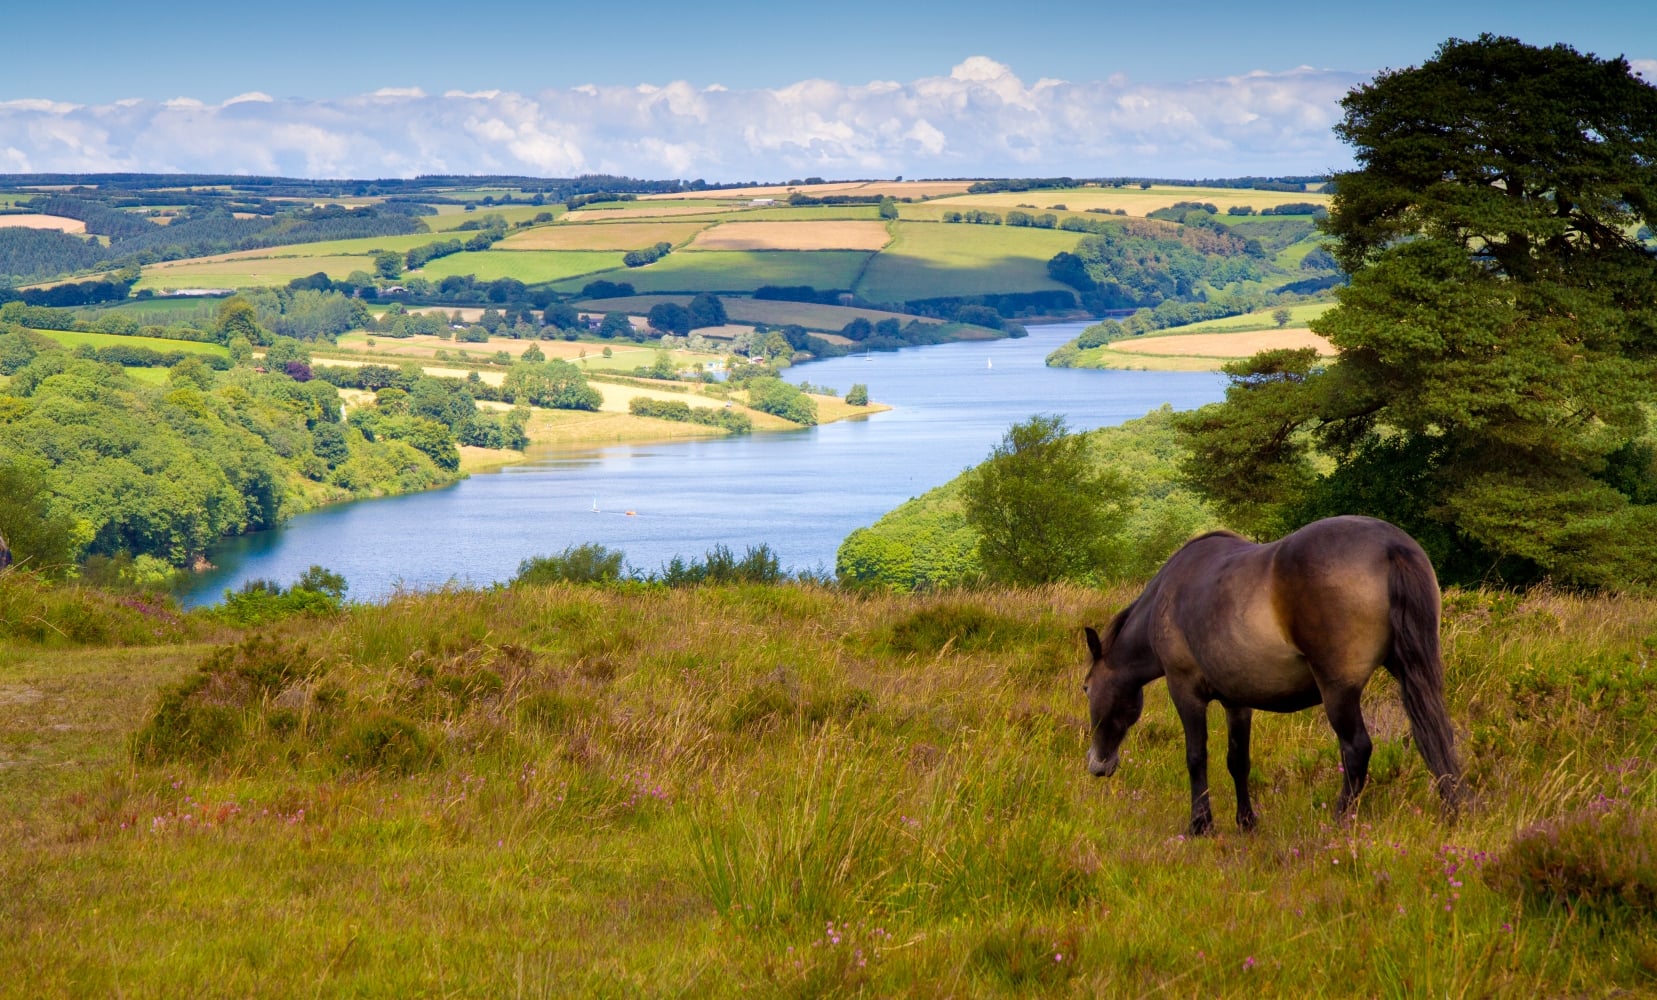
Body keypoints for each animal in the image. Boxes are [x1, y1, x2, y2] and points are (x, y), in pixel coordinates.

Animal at [1082, 515, 1460, 834]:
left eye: (1086, 688)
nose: (1098, 764)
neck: (1168, 595)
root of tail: (1390, 546)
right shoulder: (1237, 701)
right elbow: (1238, 761)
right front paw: (1246, 822)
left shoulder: (1185, 691)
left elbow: (1196, 757)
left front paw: (1200, 825)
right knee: (1436, 735)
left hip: (1339, 690)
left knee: (1356, 749)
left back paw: (1339, 821)